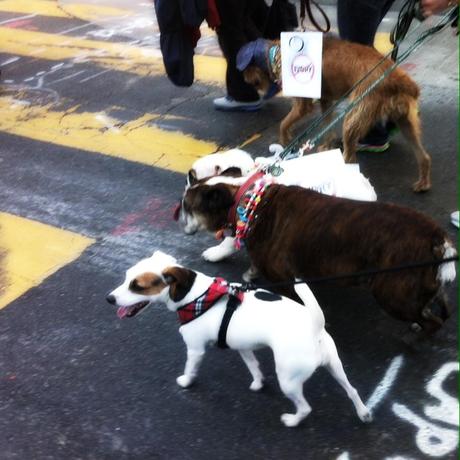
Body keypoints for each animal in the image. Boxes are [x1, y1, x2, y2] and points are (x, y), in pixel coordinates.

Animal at [106, 252, 372, 428]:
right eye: (126, 278)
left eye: (137, 286)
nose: (109, 298)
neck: (195, 296)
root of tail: (314, 327)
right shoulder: (243, 347)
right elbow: (253, 366)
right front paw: (258, 383)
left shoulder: (195, 349)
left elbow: (191, 368)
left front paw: (185, 381)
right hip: (334, 366)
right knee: (352, 390)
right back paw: (363, 413)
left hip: (288, 380)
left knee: (305, 408)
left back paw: (292, 420)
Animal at [182, 181, 456, 338]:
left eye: (186, 206)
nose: (179, 218)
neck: (247, 204)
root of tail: (435, 236)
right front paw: (250, 271)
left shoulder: (285, 279)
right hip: (423, 285)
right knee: (442, 307)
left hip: (392, 295)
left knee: (433, 322)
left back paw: (419, 335)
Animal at [237, 36, 432, 192]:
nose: (244, 80)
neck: (276, 53)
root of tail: (397, 80)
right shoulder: (326, 101)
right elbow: (326, 124)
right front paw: (326, 144)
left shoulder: (303, 105)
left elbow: (283, 123)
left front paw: (286, 141)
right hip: (406, 123)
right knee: (424, 156)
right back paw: (423, 183)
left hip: (353, 117)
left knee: (351, 157)